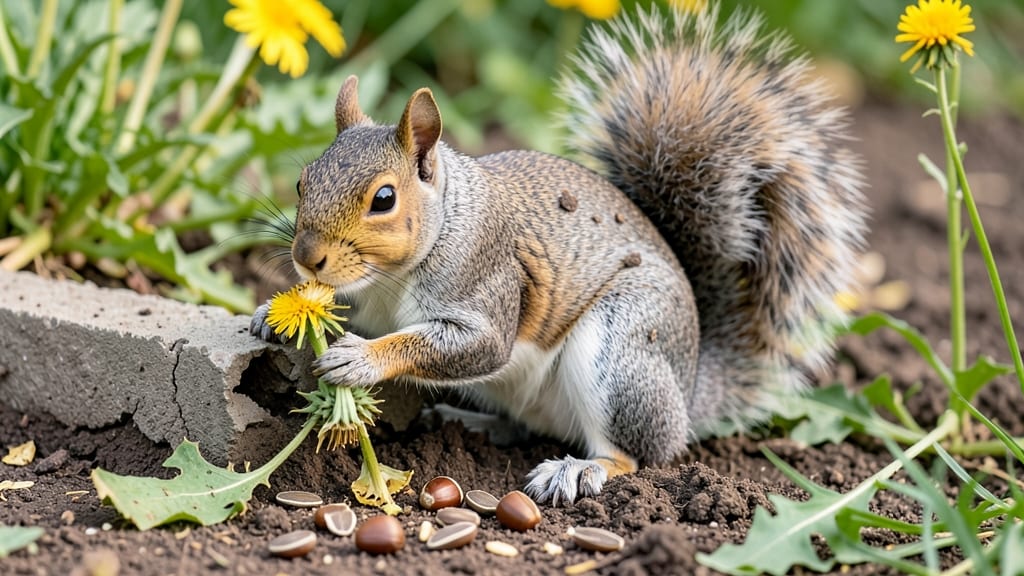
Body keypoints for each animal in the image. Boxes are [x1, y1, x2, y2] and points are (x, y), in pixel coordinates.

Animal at [251, 4, 866, 505]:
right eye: (303, 181)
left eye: (384, 199)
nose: (306, 258)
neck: (390, 276)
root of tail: (690, 392)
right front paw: (268, 313)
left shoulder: (488, 282)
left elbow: (467, 345)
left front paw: (361, 358)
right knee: (527, 425)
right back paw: (472, 422)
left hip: (620, 351)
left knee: (633, 455)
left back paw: (577, 471)